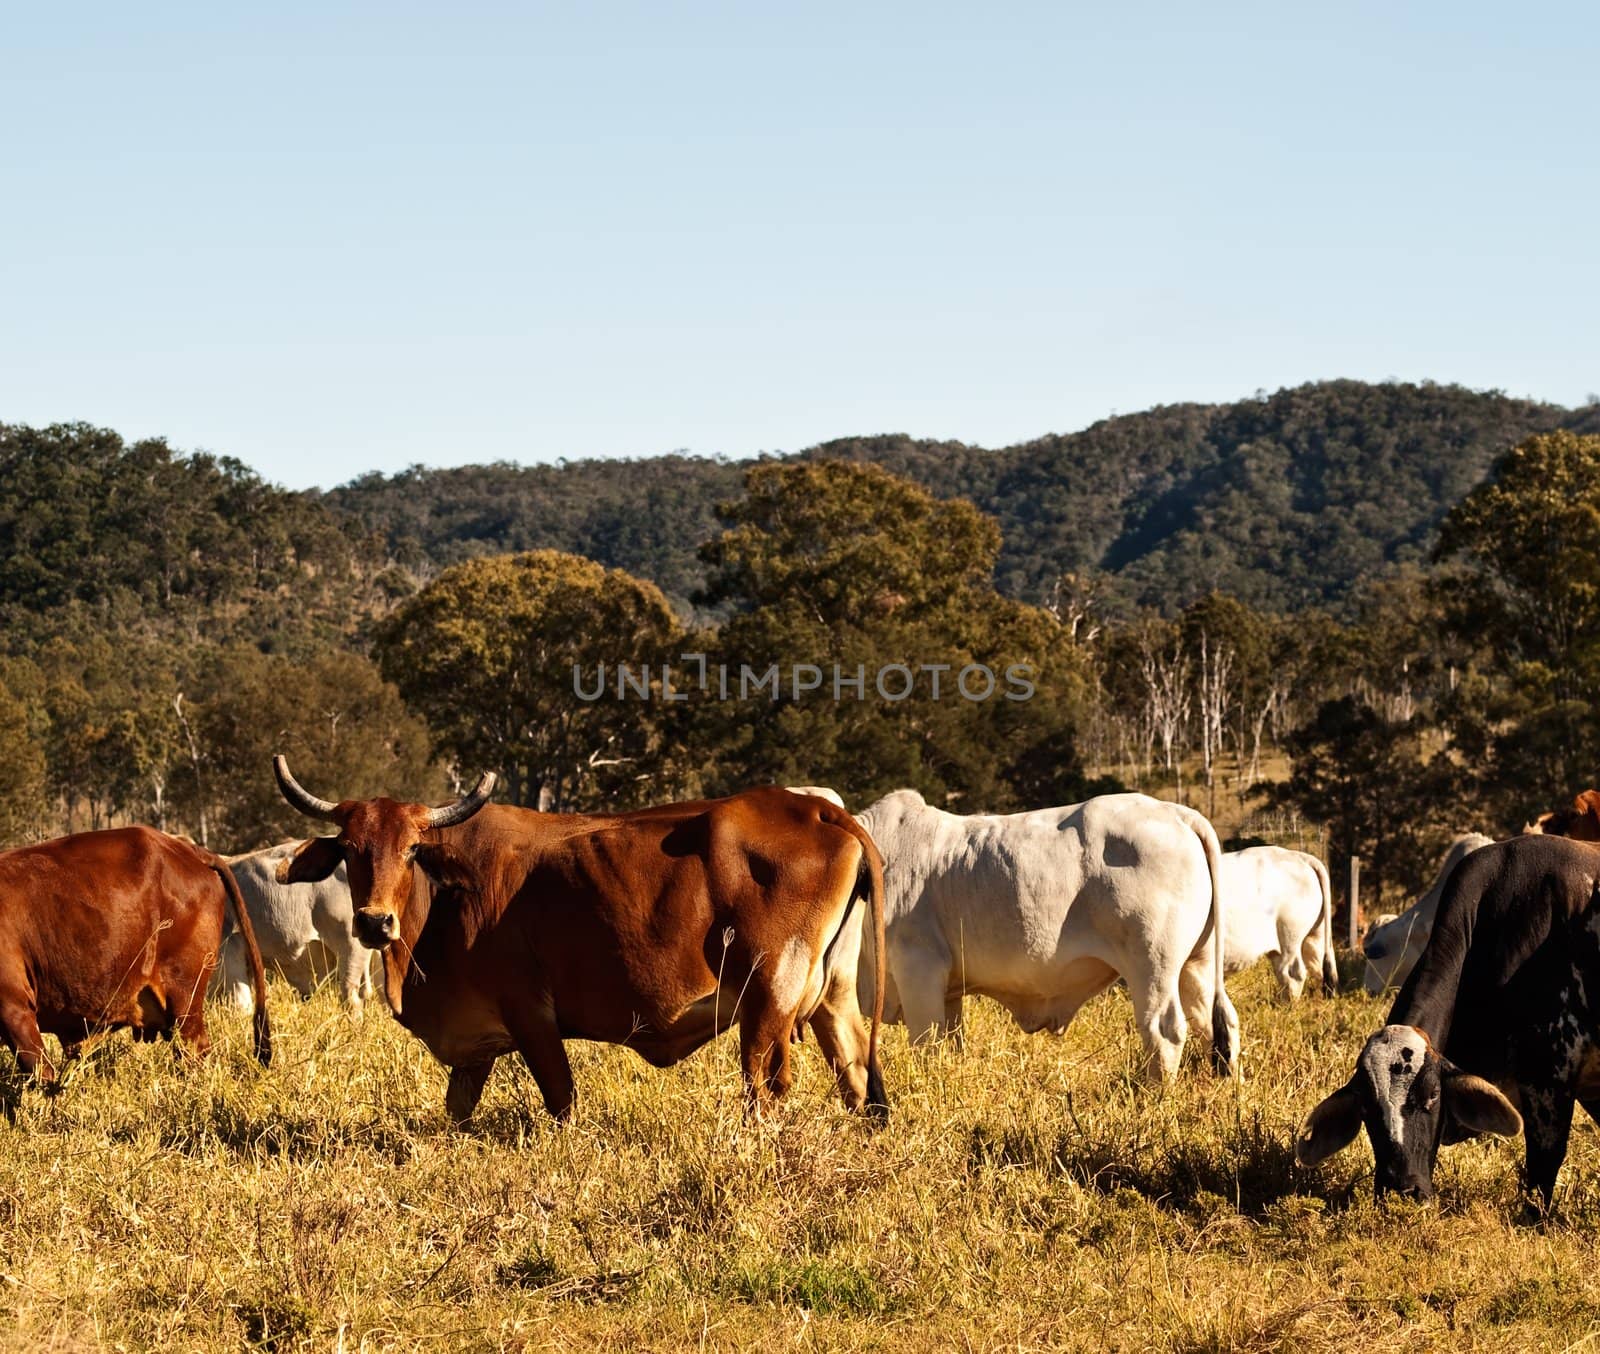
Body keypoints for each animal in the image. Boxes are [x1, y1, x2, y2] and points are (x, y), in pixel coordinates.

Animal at [276, 758, 896, 1126]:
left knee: (765, 1089)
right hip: (832, 996)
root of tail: (817, 808)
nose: (374, 923)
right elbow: (459, 1109)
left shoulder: (531, 1017)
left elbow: (561, 1099)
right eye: (351, 848)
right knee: (857, 1078)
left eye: (410, 848)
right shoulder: (475, 1047)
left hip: (767, 1001)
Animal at [851, 790, 1235, 1088]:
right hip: (1196, 964)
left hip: (1152, 963)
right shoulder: (949, 992)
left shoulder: (918, 970)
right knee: (1220, 1023)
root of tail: (1177, 813)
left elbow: (927, 1043)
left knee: (1164, 1029)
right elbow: (951, 1043)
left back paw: (1154, 1096)